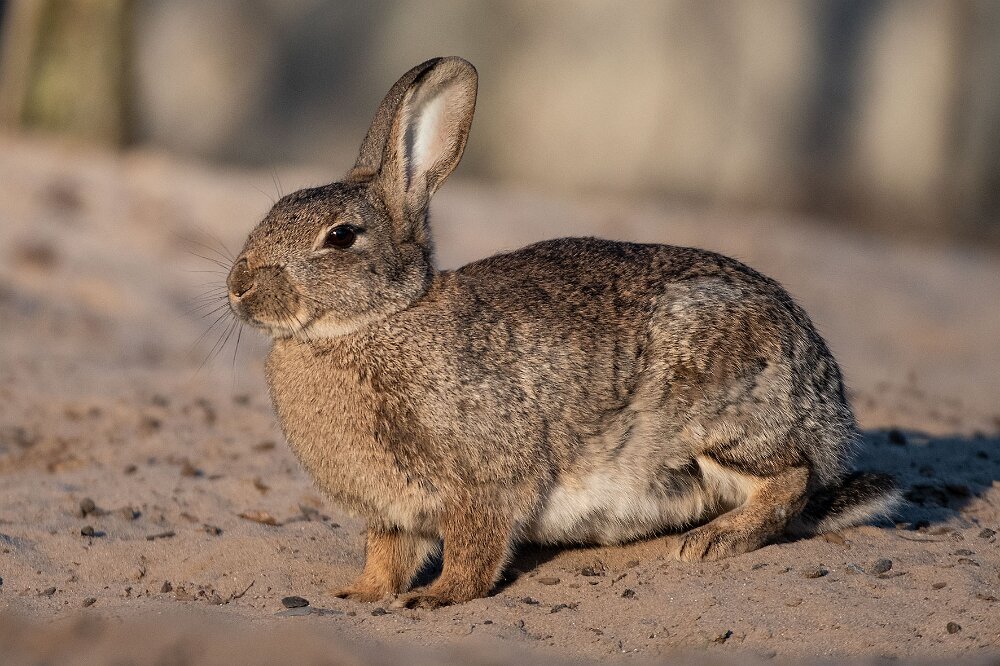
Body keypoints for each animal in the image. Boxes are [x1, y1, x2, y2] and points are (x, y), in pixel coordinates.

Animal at [226, 57, 900, 609]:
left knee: (789, 479)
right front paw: (360, 593)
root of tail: (830, 408)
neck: (376, 320)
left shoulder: (484, 479)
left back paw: (711, 542)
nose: (237, 285)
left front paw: (437, 597)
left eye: (340, 237)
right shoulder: (395, 514)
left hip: (722, 413)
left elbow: (474, 547)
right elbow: (387, 557)